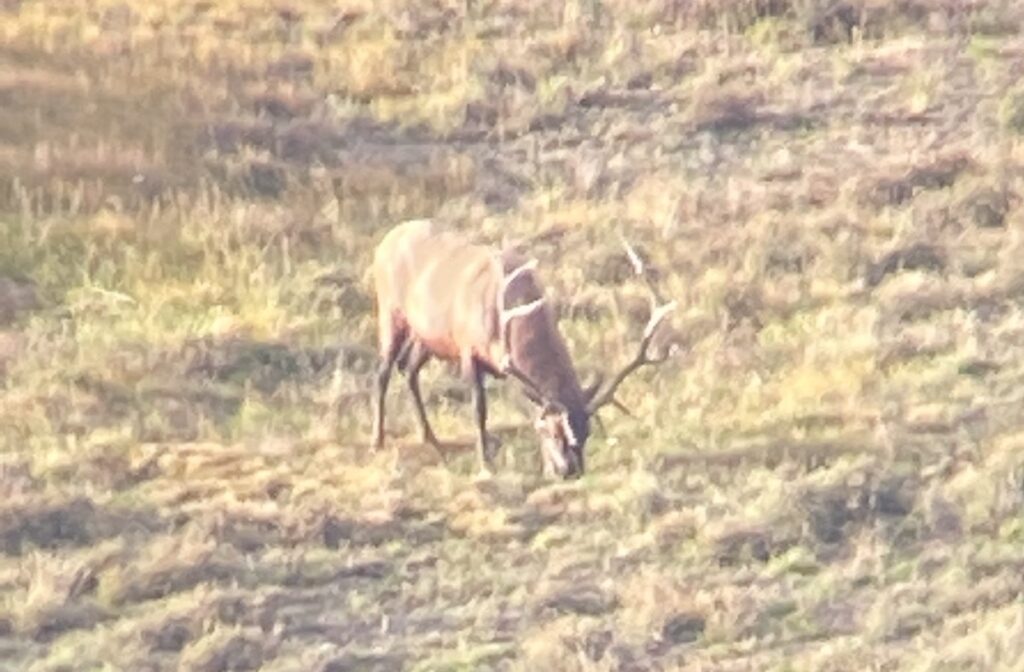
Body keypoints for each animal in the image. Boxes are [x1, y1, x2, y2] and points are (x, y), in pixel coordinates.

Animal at [372, 219, 675, 477]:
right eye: (550, 431)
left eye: (587, 431)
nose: (569, 471)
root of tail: (387, 238)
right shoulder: (468, 347)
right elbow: (479, 409)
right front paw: (486, 464)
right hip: (389, 310)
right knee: (383, 371)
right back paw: (378, 441)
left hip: (427, 336)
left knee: (408, 369)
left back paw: (431, 438)